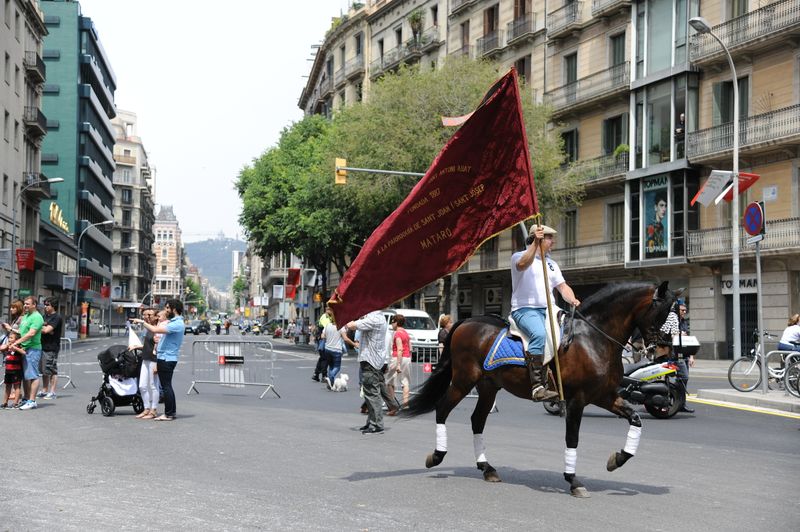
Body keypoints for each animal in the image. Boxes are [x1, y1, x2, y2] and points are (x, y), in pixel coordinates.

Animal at [400, 280, 676, 496]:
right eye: (663, 312)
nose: (665, 350)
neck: (593, 339)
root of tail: (465, 322)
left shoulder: (604, 396)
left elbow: (635, 418)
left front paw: (617, 460)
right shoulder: (577, 399)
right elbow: (572, 438)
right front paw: (573, 480)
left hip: (488, 387)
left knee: (477, 420)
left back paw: (487, 468)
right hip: (463, 381)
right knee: (442, 409)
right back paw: (437, 456)